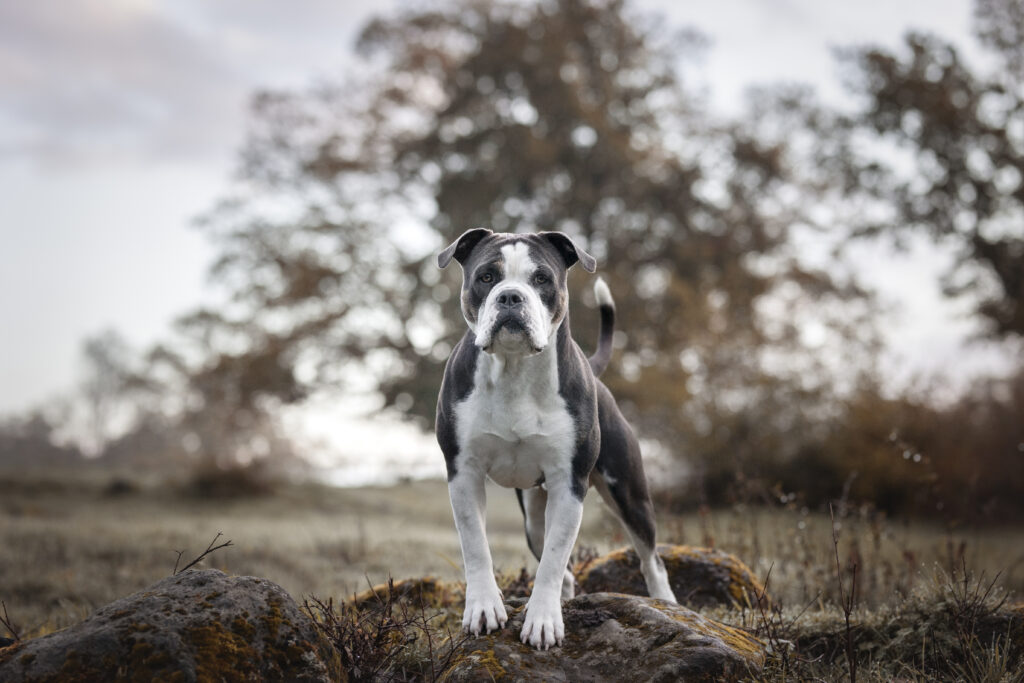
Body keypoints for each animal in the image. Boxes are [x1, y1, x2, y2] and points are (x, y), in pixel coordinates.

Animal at [436, 227, 675, 651]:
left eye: (541, 279)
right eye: (486, 277)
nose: (510, 297)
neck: (514, 369)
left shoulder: (569, 484)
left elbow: (553, 559)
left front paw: (543, 621)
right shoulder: (463, 474)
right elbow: (476, 546)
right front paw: (483, 608)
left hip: (629, 494)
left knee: (651, 559)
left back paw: (667, 604)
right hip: (533, 518)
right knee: (559, 563)